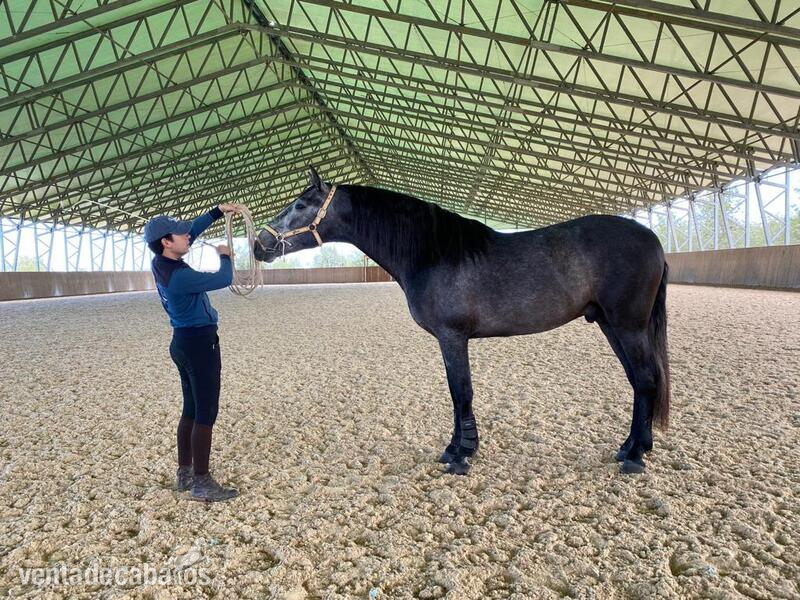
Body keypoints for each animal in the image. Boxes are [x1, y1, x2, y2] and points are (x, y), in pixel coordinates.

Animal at [254, 167, 670, 475]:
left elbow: (460, 392)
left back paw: (634, 458)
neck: (433, 251)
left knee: (647, 379)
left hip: (627, 326)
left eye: (301, 204)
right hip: (610, 325)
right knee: (639, 382)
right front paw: (458, 448)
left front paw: (460, 455)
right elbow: (459, 395)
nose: (260, 244)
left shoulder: (452, 337)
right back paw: (631, 447)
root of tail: (653, 239)